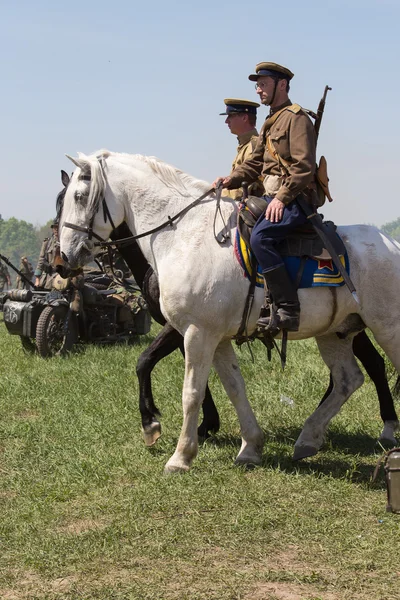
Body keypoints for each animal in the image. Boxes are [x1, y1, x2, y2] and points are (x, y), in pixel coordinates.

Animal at [58, 151, 400, 474]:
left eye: (79, 196)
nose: (64, 257)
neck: (184, 237)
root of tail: (392, 244)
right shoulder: (217, 337)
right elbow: (234, 387)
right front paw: (250, 447)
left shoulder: (197, 333)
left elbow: (191, 392)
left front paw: (180, 455)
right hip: (334, 333)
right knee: (348, 379)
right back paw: (308, 439)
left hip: (386, 328)